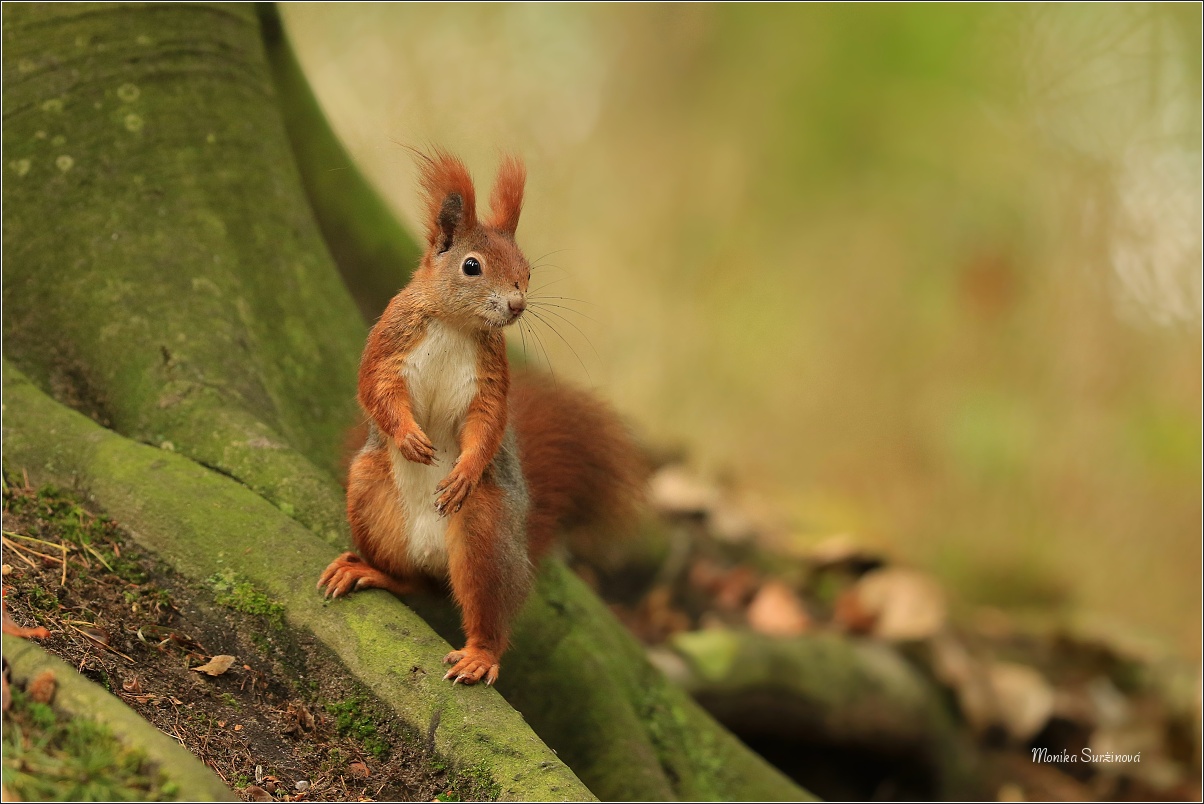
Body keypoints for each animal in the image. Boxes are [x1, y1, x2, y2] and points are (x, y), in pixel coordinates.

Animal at [315, 149, 645, 683]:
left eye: (527, 270)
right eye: (472, 266)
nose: (517, 305)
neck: (456, 324)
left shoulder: (491, 379)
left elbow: (488, 423)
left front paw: (463, 471)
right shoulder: (388, 341)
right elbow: (374, 390)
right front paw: (409, 438)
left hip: (484, 533)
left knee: (485, 610)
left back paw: (479, 655)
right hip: (368, 491)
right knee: (412, 583)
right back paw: (367, 569)